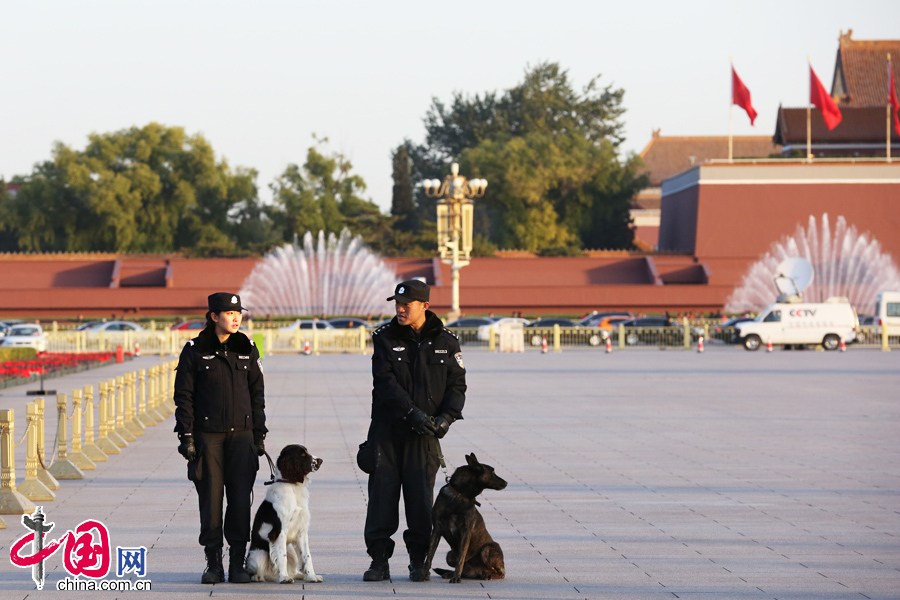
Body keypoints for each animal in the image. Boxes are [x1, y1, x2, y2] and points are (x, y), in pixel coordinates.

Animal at [246, 446, 324, 580]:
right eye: (302, 454)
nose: (320, 460)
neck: (291, 485)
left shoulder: (301, 531)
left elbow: (307, 556)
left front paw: (312, 576)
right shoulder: (279, 531)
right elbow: (282, 557)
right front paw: (284, 578)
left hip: (291, 551)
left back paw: (298, 575)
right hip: (259, 554)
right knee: (257, 571)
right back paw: (261, 577)